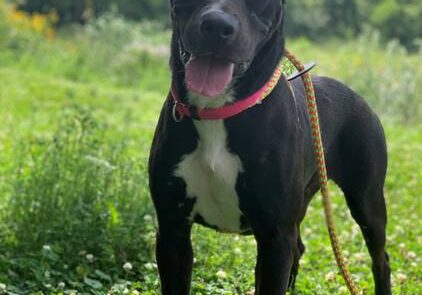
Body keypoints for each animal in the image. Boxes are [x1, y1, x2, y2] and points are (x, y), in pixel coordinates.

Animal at [149, 1, 392, 294]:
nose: (217, 26)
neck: (217, 112)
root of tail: (358, 96)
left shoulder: (275, 236)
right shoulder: (172, 229)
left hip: (367, 201)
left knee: (381, 260)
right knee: (299, 248)